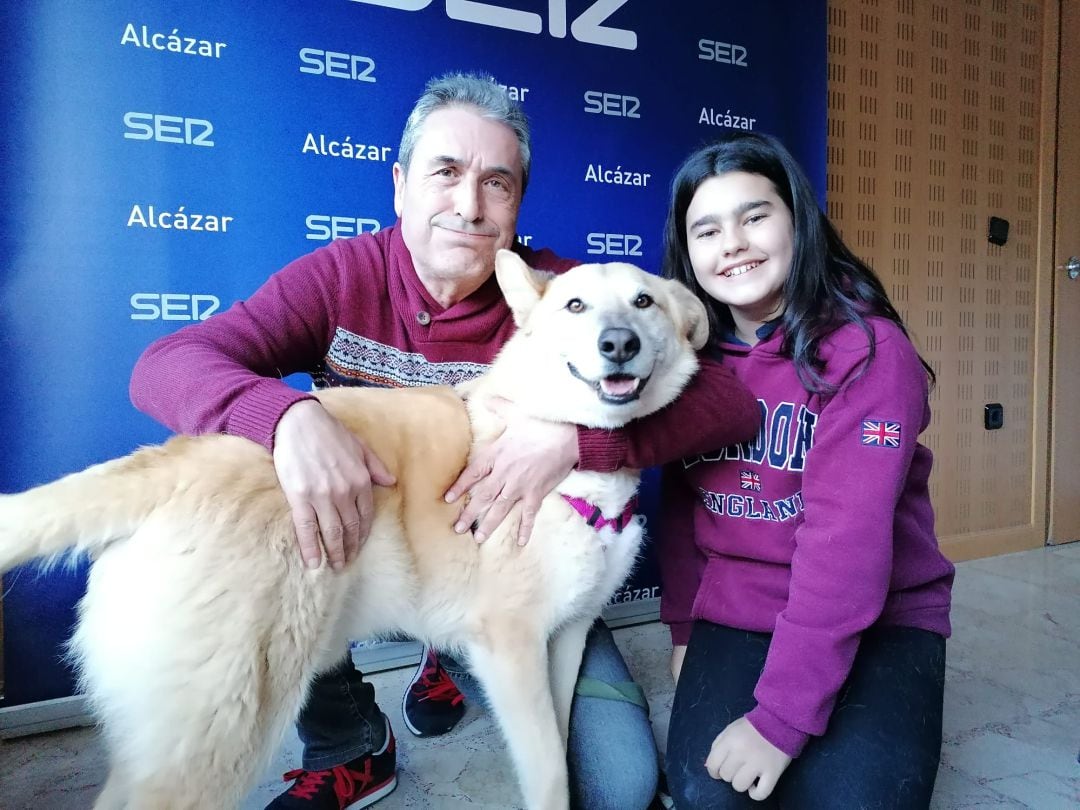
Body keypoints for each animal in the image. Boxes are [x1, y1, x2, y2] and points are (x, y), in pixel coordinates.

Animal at [0, 252, 708, 810]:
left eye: (643, 301)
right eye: (574, 305)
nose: (618, 343)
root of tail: (170, 462)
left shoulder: (564, 640)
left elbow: (560, 747)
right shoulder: (511, 650)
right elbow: (549, 776)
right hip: (231, 714)